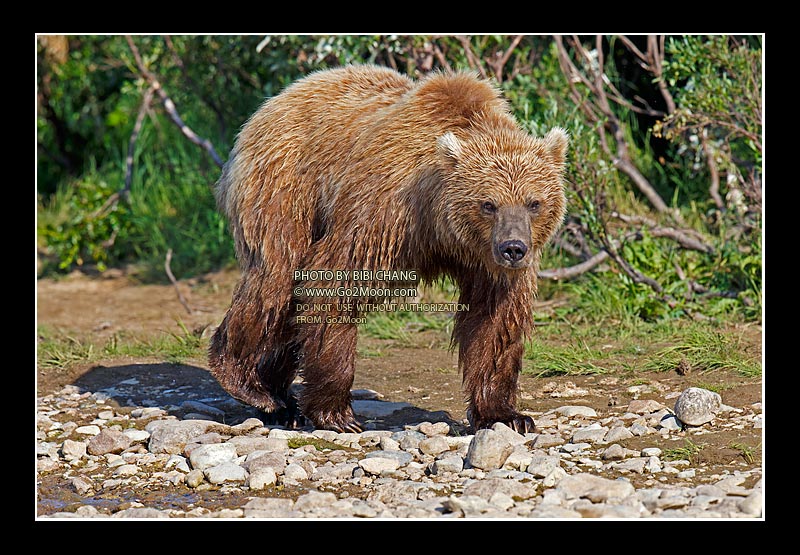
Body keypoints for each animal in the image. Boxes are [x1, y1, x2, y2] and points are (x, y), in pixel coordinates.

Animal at [209, 64, 568, 434]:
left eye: (534, 203)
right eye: (489, 204)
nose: (513, 248)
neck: (441, 227)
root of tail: (275, 100)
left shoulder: (487, 263)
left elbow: (494, 319)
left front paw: (507, 415)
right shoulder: (384, 209)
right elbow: (335, 281)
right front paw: (337, 413)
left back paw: (281, 400)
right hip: (286, 185)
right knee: (276, 276)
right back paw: (249, 384)